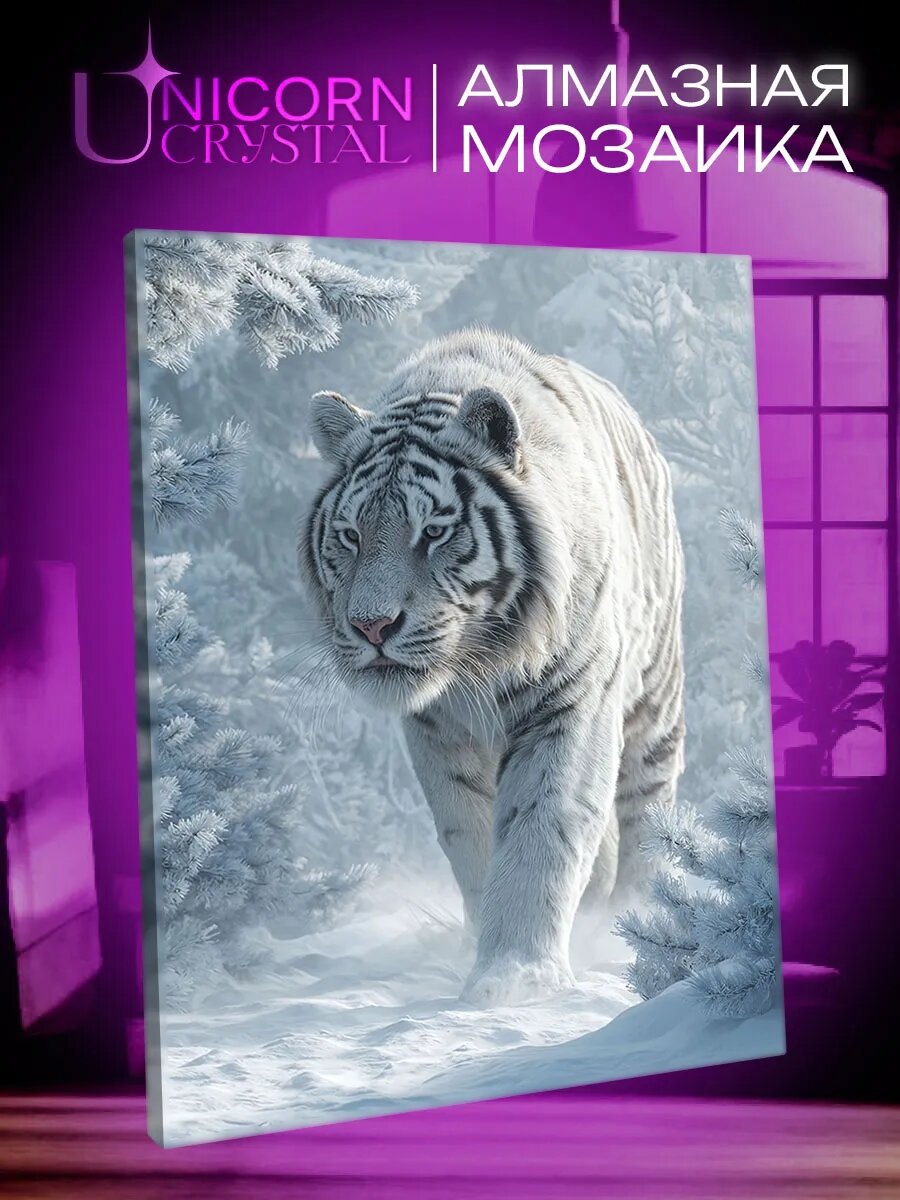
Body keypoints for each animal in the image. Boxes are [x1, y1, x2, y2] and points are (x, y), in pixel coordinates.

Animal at [300, 328, 684, 1005]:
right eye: (349, 534)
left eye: (433, 530)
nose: (372, 626)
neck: (480, 663)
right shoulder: (437, 734)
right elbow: (470, 837)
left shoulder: (572, 705)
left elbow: (541, 832)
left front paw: (516, 979)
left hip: (654, 709)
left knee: (646, 811)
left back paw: (638, 923)